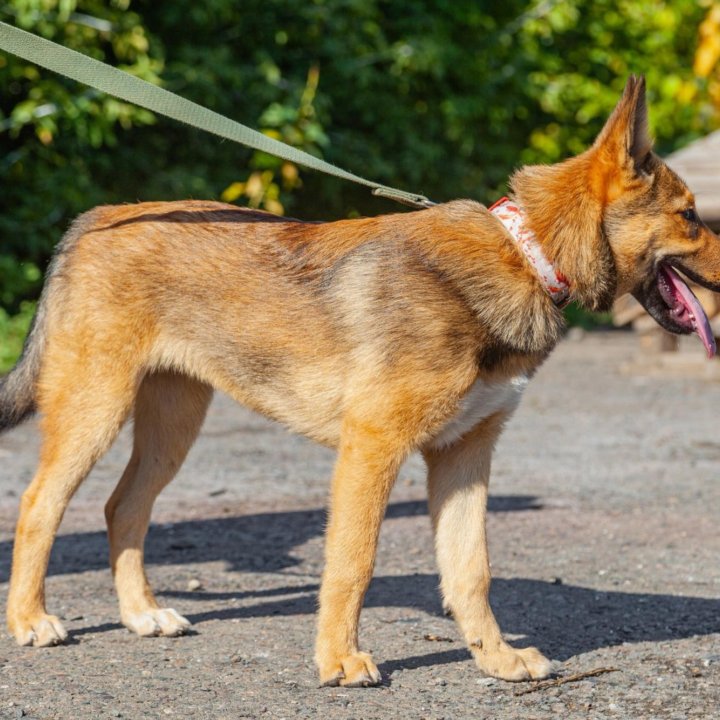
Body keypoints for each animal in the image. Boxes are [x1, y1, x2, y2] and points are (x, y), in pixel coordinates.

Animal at [1, 74, 720, 688]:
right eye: (691, 216)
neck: (526, 253)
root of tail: (92, 222)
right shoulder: (372, 449)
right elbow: (354, 563)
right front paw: (340, 660)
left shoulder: (464, 460)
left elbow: (471, 571)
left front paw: (495, 658)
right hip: (94, 413)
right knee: (38, 507)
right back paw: (30, 619)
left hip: (171, 428)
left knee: (123, 508)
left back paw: (141, 614)